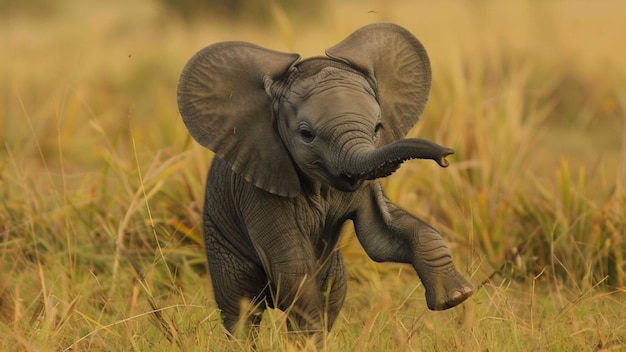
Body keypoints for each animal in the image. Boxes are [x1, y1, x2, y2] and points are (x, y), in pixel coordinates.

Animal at [176, 22, 468, 338]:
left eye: (378, 128)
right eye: (307, 134)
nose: (447, 156)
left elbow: (383, 236)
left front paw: (456, 296)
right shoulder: (258, 189)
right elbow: (293, 266)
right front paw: (307, 337)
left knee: (333, 293)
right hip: (221, 246)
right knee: (241, 309)